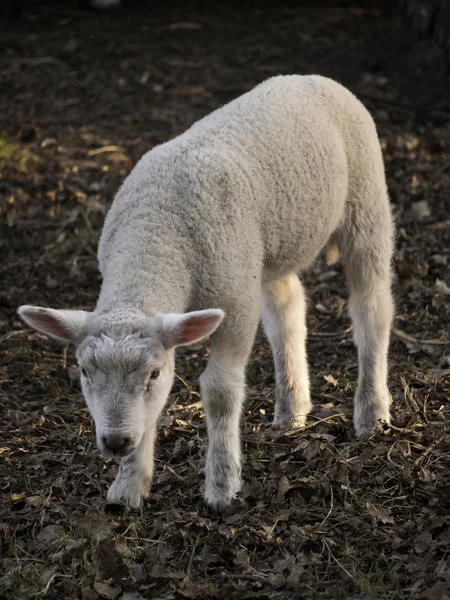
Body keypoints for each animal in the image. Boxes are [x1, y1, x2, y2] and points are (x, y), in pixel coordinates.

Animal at [19, 75, 396, 510]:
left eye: (153, 372)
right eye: (83, 371)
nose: (115, 442)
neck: (155, 237)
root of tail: (310, 79)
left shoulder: (235, 303)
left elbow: (219, 392)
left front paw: (221, 485)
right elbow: (152, 410)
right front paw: (127, 488)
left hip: (365, 205)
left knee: (371, 308)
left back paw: (372, 412)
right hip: (265, 252)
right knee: (287, 308)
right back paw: (291, 410)